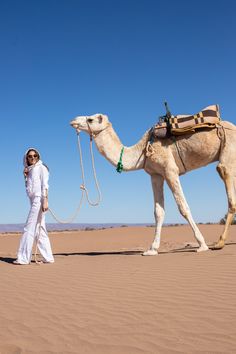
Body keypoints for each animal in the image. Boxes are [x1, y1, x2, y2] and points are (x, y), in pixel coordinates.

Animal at [69, 113, 236, 254]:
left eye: (90, 119)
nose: (73, 121)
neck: (142, 152)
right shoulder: (156, 175)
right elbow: (158, 212)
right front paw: (152, 249)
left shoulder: (170, 170)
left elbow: (183, 207)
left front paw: (202, 245)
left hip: (228, 151)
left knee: (226, 181)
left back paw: (219, 243)